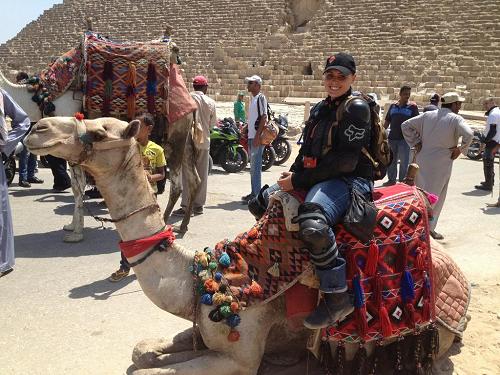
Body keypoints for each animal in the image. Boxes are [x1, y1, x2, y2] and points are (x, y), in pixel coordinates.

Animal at [24, 116, 472, 374]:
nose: (37, 128)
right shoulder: (203, 329)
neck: (199, 277)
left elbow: (149, 370)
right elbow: (141, 355)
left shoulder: (239, 357)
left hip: (429, 333)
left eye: (100, 132)